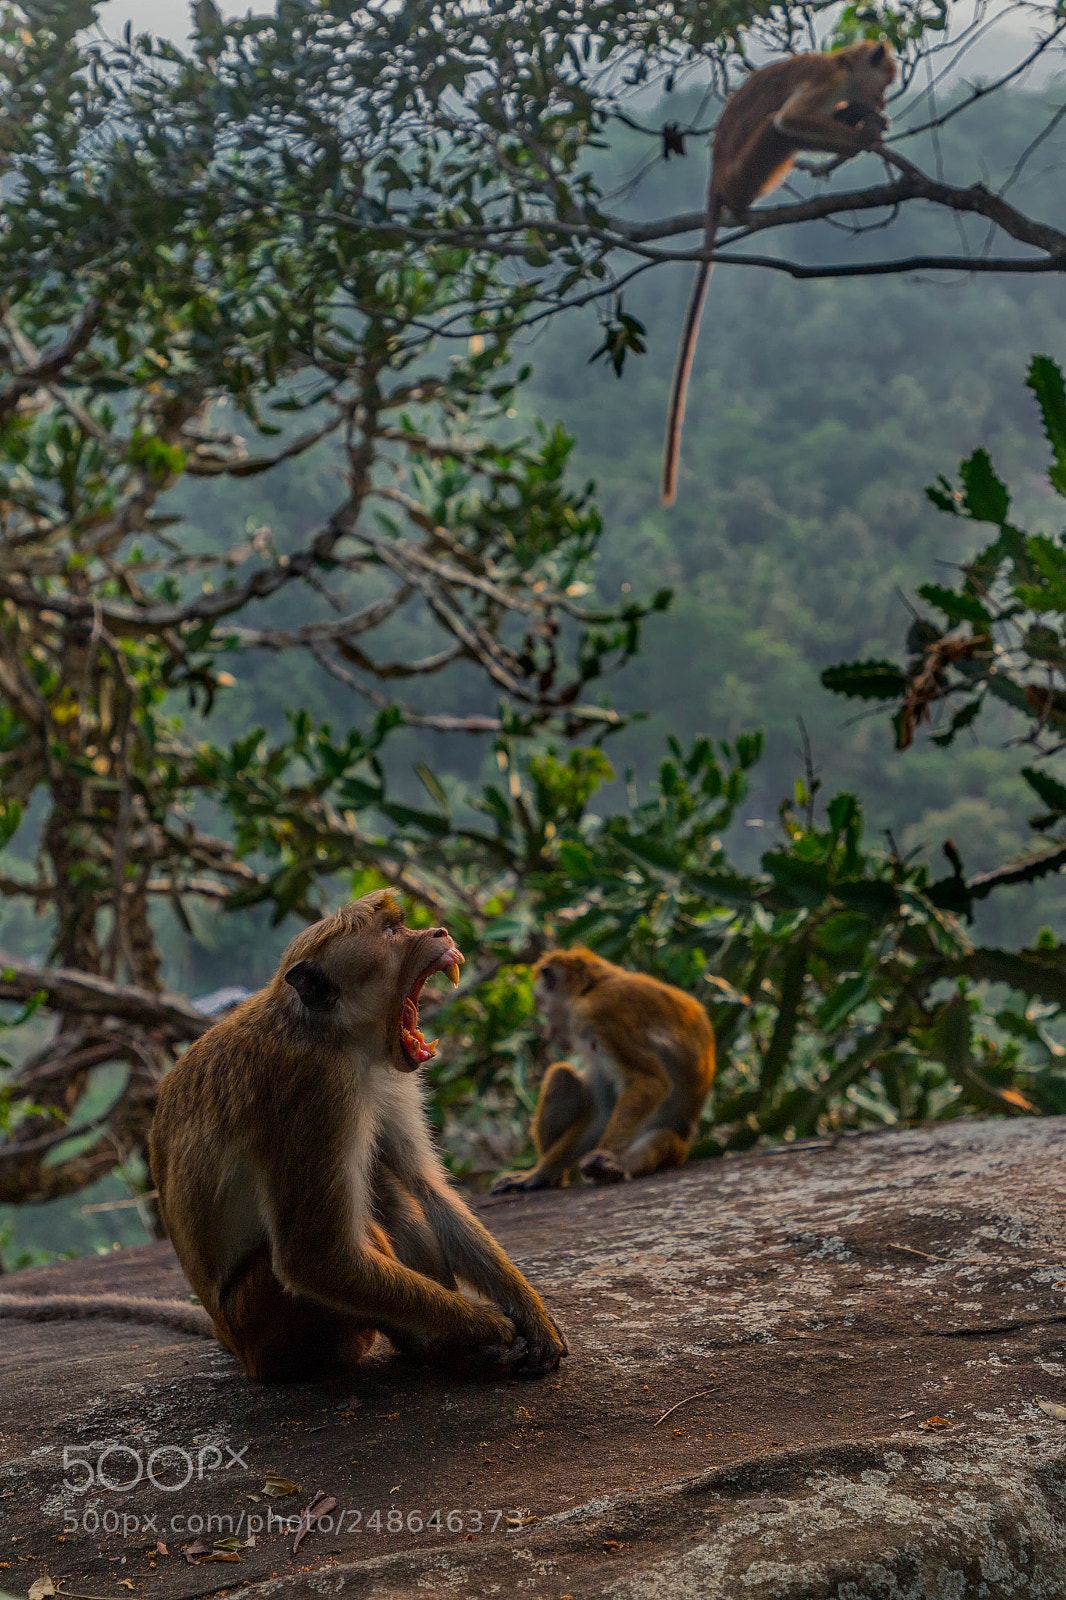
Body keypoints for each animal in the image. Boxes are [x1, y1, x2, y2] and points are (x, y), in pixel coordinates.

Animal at [0, 892, 567, 1383]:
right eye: (392, 932)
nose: (439, 932)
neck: (333, 1033)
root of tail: (232, 1344)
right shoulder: (316, 1090)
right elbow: (315, 1258)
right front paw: (490, 1326)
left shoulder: (386, 1074)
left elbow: (427, 1187)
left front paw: (532, 1317)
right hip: (267, 1324)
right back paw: (441, 1349)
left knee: (385, 1183)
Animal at [490, 947, 715, 1192]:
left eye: (541, 1005)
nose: (548, 1033)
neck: (592, 987)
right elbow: (603, 1113)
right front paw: (539, 1173)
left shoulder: (599, 1012)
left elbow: (649, 1082)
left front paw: (601, 1155)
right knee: (562, 1076)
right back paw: (555, 1179)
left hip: (676, 1150)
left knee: (661, 1137)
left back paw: (612, 1167)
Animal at [661, 40, 897, 507]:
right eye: (885, 83)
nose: (882, 99)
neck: (843, 65)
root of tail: (716, 177)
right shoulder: (826, 81)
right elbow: (789, 120)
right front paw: (862, 133)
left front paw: (864, 121)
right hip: (743, 171)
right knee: (776, 129)